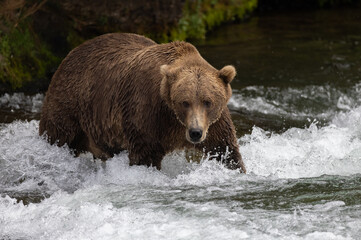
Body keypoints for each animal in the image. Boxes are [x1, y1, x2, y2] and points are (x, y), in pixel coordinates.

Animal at [40, 33, 248, 172]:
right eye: (185, 102)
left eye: (207, 101)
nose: (195, 132)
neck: (173, 118)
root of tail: (69, 55)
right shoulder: (146, 111)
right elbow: (144, 154)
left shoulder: (213, 124)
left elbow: (225, 149)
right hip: (70, 105)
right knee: (58, 134)